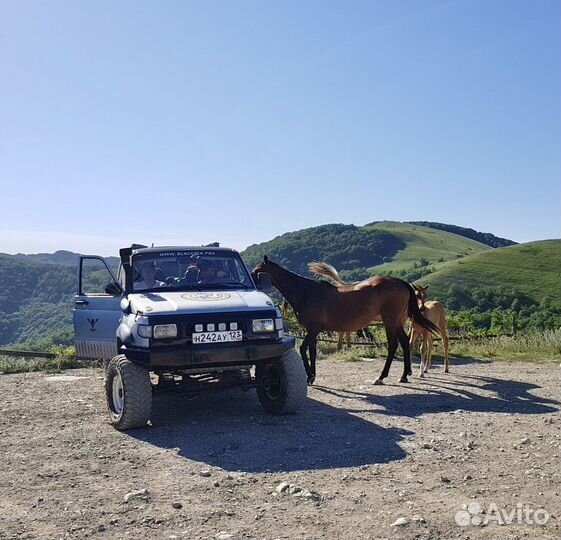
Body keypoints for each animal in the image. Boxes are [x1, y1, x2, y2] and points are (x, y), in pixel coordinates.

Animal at [252, 256, 440, 384]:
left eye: (256, 271)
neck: (306, 292)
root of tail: (402, 283)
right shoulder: (313, 331)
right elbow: (312, 352)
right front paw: (312, 376)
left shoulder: (313, 329)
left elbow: (304, 349)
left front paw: (310, 376)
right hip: (397, 322)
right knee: (405, 343)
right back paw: (404, 375)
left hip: (390, 321)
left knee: (393, 345)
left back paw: (381, 377)